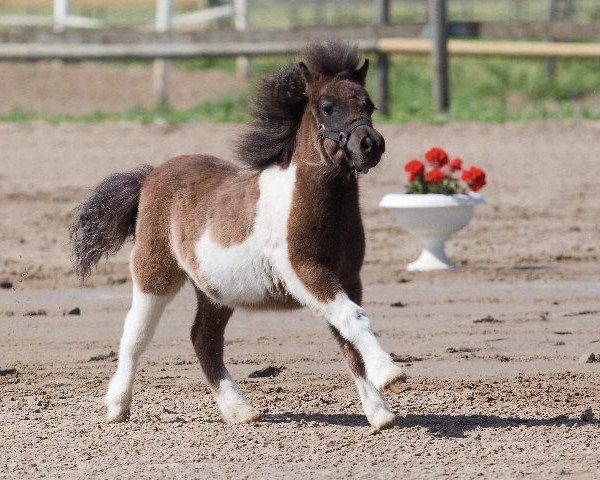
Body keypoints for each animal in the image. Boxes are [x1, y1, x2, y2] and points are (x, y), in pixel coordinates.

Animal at [70, 41, 408, 430]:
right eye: (328, 106)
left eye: (369, 105)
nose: (371, 145)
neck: (312, 207)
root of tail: (150, 175)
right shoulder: (305, 271)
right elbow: (354, 319)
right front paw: (391, 374)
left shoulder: (349, 278)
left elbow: (348, 337)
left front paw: (380, 412)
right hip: (155, 273)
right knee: (135, 335)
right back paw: (117, 407)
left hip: (214, 292)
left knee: (204, 339)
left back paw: (240, 410)